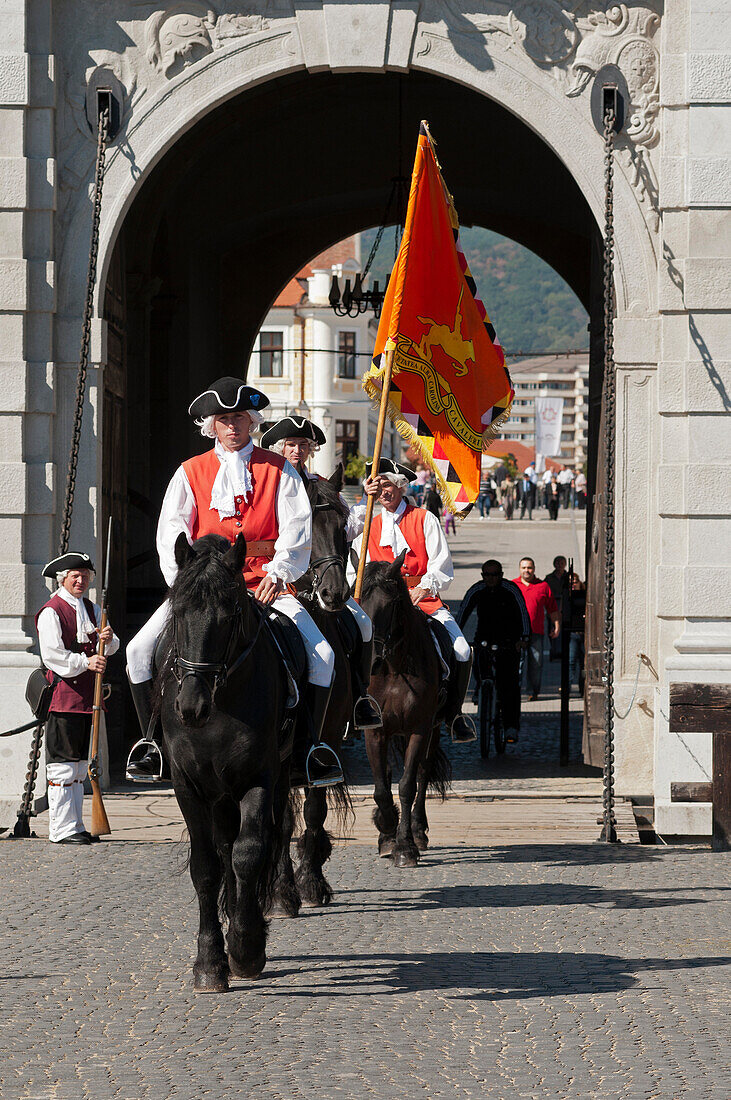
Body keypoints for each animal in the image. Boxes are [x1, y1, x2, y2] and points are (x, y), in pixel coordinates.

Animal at [158, 532, 294, 998]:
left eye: (230, 612)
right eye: (178, 611)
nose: (190, 707)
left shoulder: (259, 778)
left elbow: (249, 853)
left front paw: (246, 948)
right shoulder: (188, 786)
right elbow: (206, 867)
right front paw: (210, 962)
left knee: (260, 840)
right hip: (218, 797)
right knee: (222, 849)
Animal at [358, 558, 450, 866]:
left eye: (390, 604)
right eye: (358, 602)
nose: (371, 661)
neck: (394, 669)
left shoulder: (420, 729)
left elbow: (408, 785)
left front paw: (405, 846)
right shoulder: (374, 732)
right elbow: (381, 788)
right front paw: (386, 829)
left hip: (433, 730)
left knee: (423, 773)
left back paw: (418, 831)